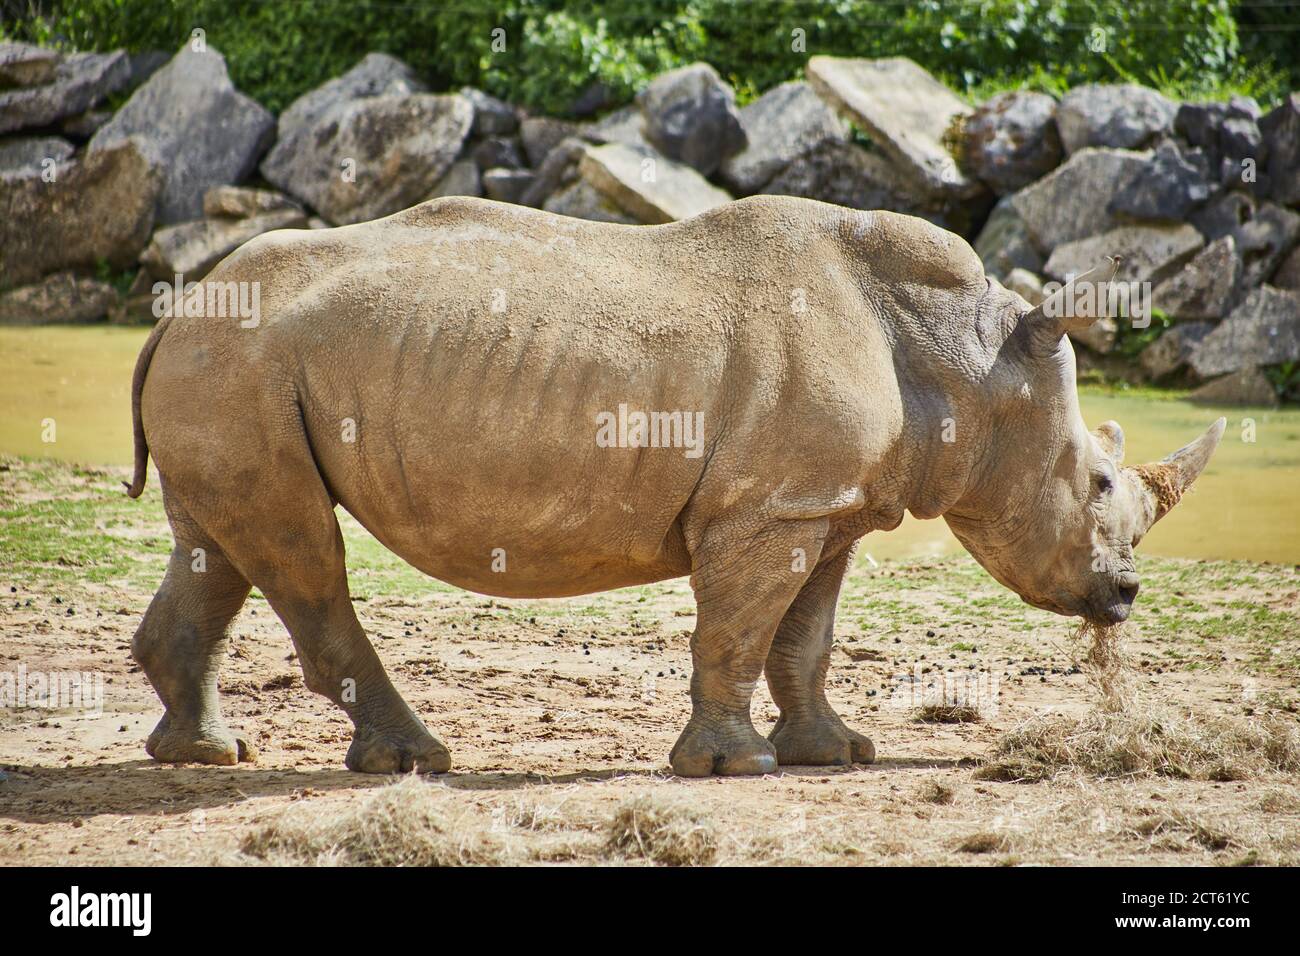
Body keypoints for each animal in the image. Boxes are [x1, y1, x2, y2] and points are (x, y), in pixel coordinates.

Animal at [125, 195, 1224, 776]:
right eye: (1097, 481)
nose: (1125, 596)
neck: (966, 361)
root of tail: (177, 307)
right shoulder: (769, 508)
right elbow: (735, 629)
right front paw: (738, 767)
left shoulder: (825, 507)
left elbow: (803, 635)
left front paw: (836, 753)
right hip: (246, 362)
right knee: (299, 553)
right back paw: (413, 761)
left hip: (235, 369)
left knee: (219, 543)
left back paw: (200, 754)